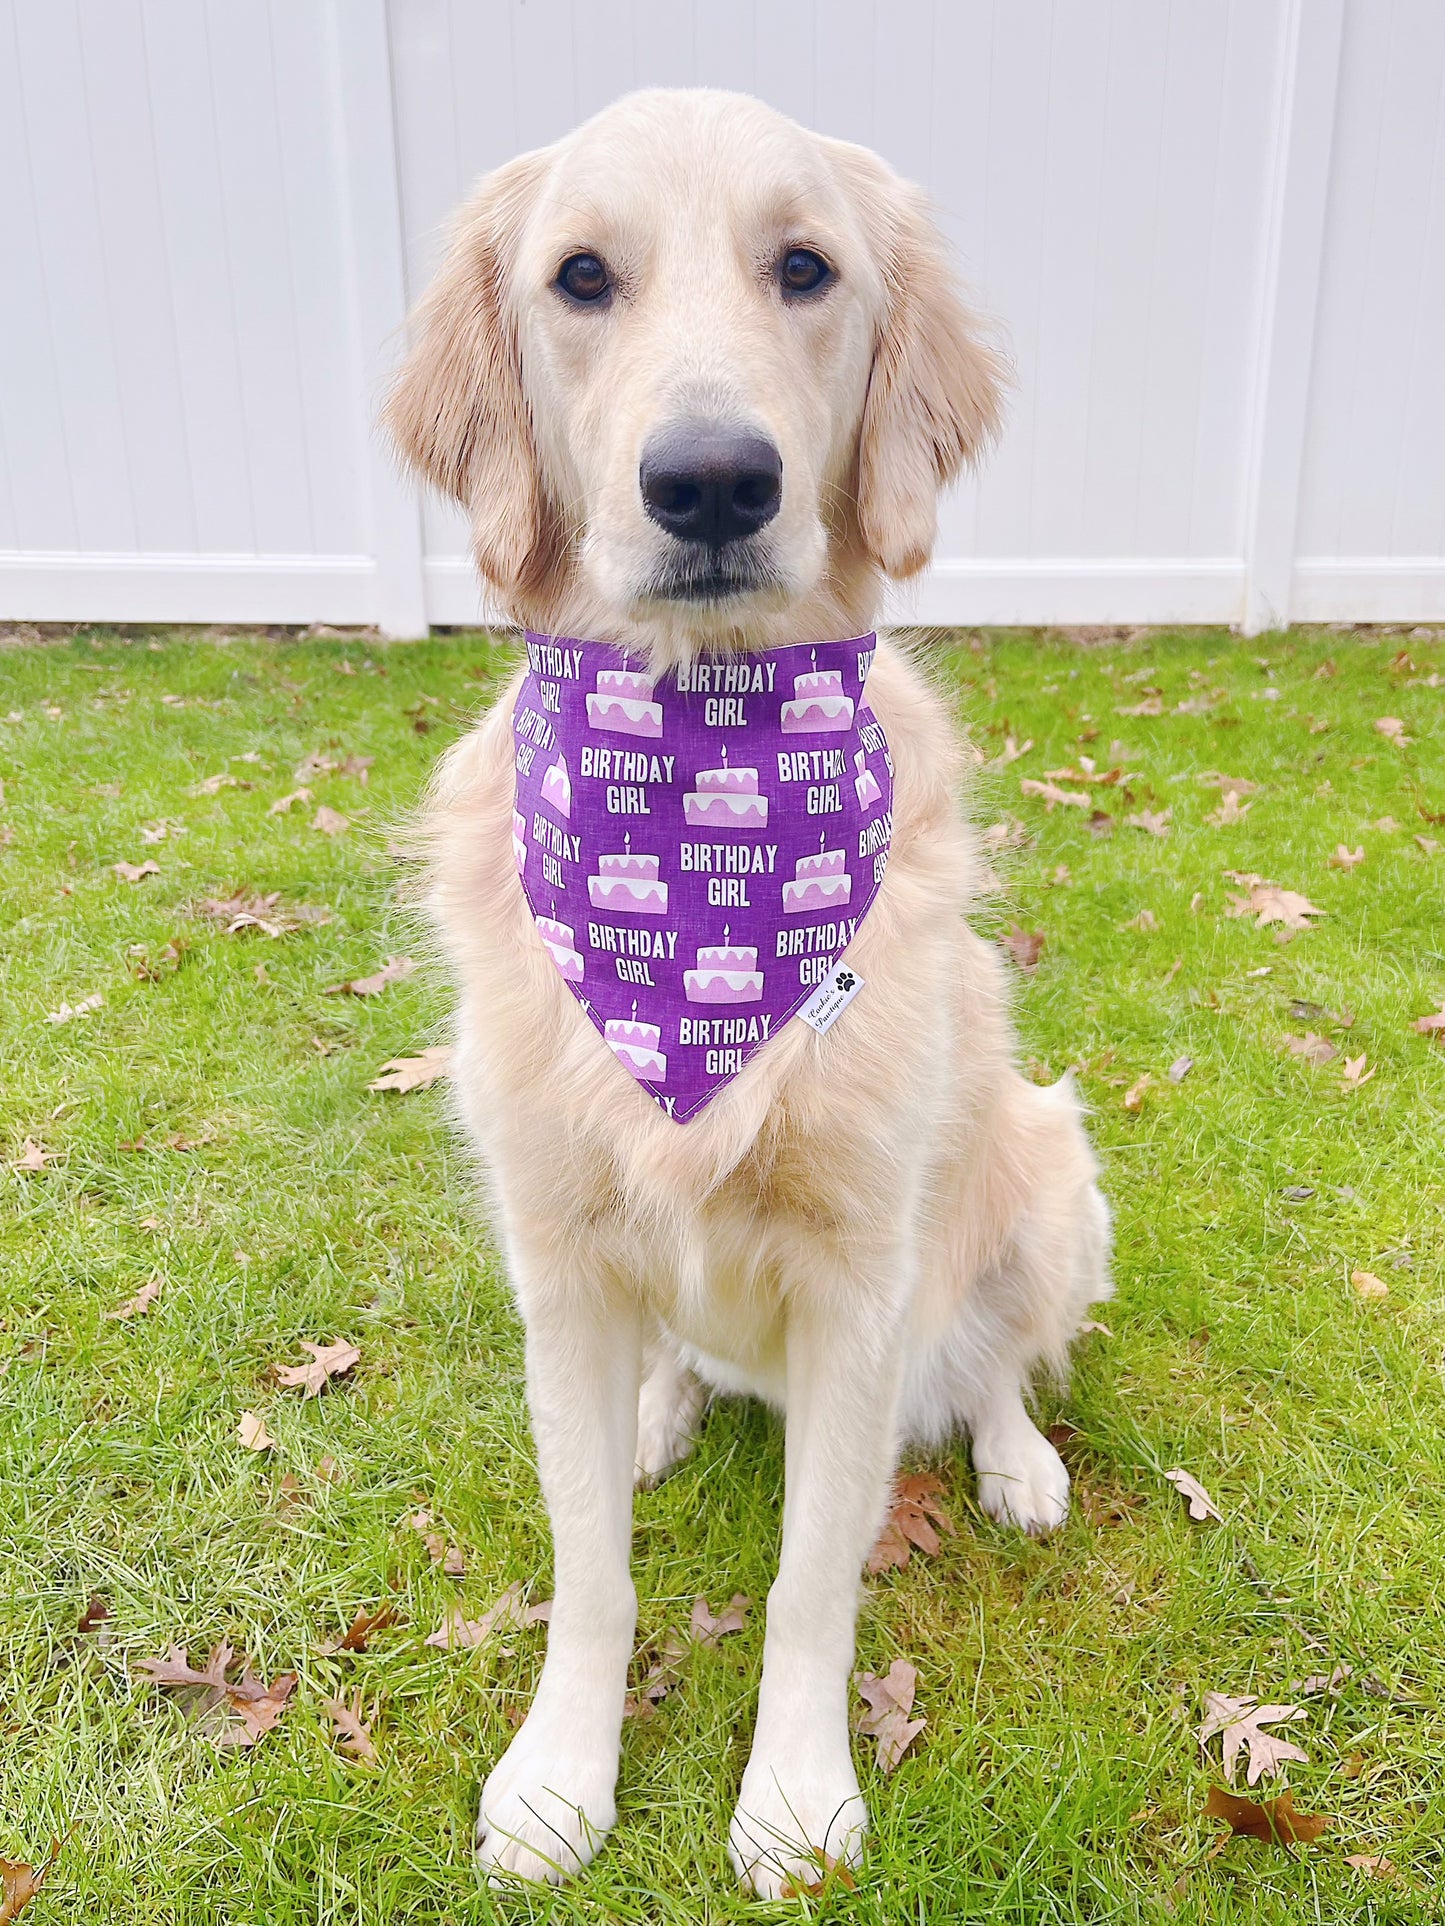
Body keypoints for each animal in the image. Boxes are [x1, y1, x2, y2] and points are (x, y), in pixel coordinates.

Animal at [385, 86, 1109, 1895]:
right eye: (581, 277)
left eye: (805, 268)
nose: (712, 480)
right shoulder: (558, 1255)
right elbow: (590, 1567)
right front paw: (558, 1776)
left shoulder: (862, 1284)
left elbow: (808, 1586)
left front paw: (791, 1795)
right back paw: (661, 1405)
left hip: (1047, 1168)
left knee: (1003, 1356)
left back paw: (1019, 1459)